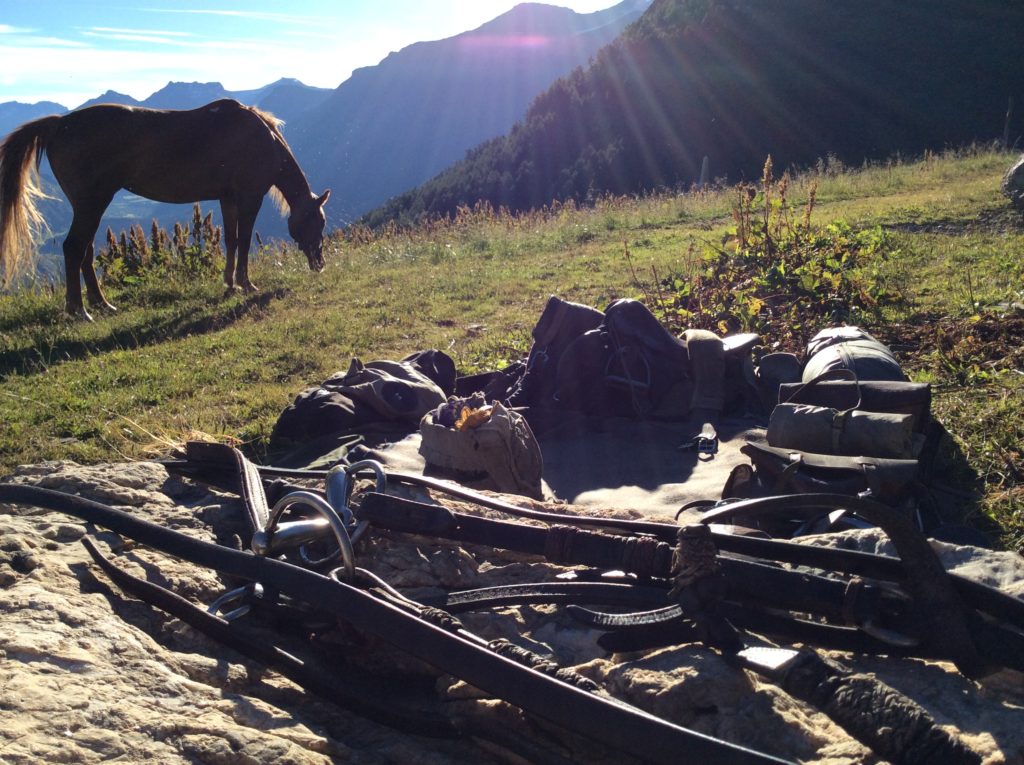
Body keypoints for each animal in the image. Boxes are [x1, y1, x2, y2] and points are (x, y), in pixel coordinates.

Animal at [0, 99, 327, 319]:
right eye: (318, 223)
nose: (319, 263)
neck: (262, 139)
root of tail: (59, 123)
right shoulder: (249, 198)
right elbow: (244, 241)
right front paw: (246, 284)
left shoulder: (228, 198)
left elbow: (232, 241)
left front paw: (230, 283)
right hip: (91, 204)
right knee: (73, 248)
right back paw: (79, 310)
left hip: (89, 206)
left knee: (85, 251)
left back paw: (101, 303)